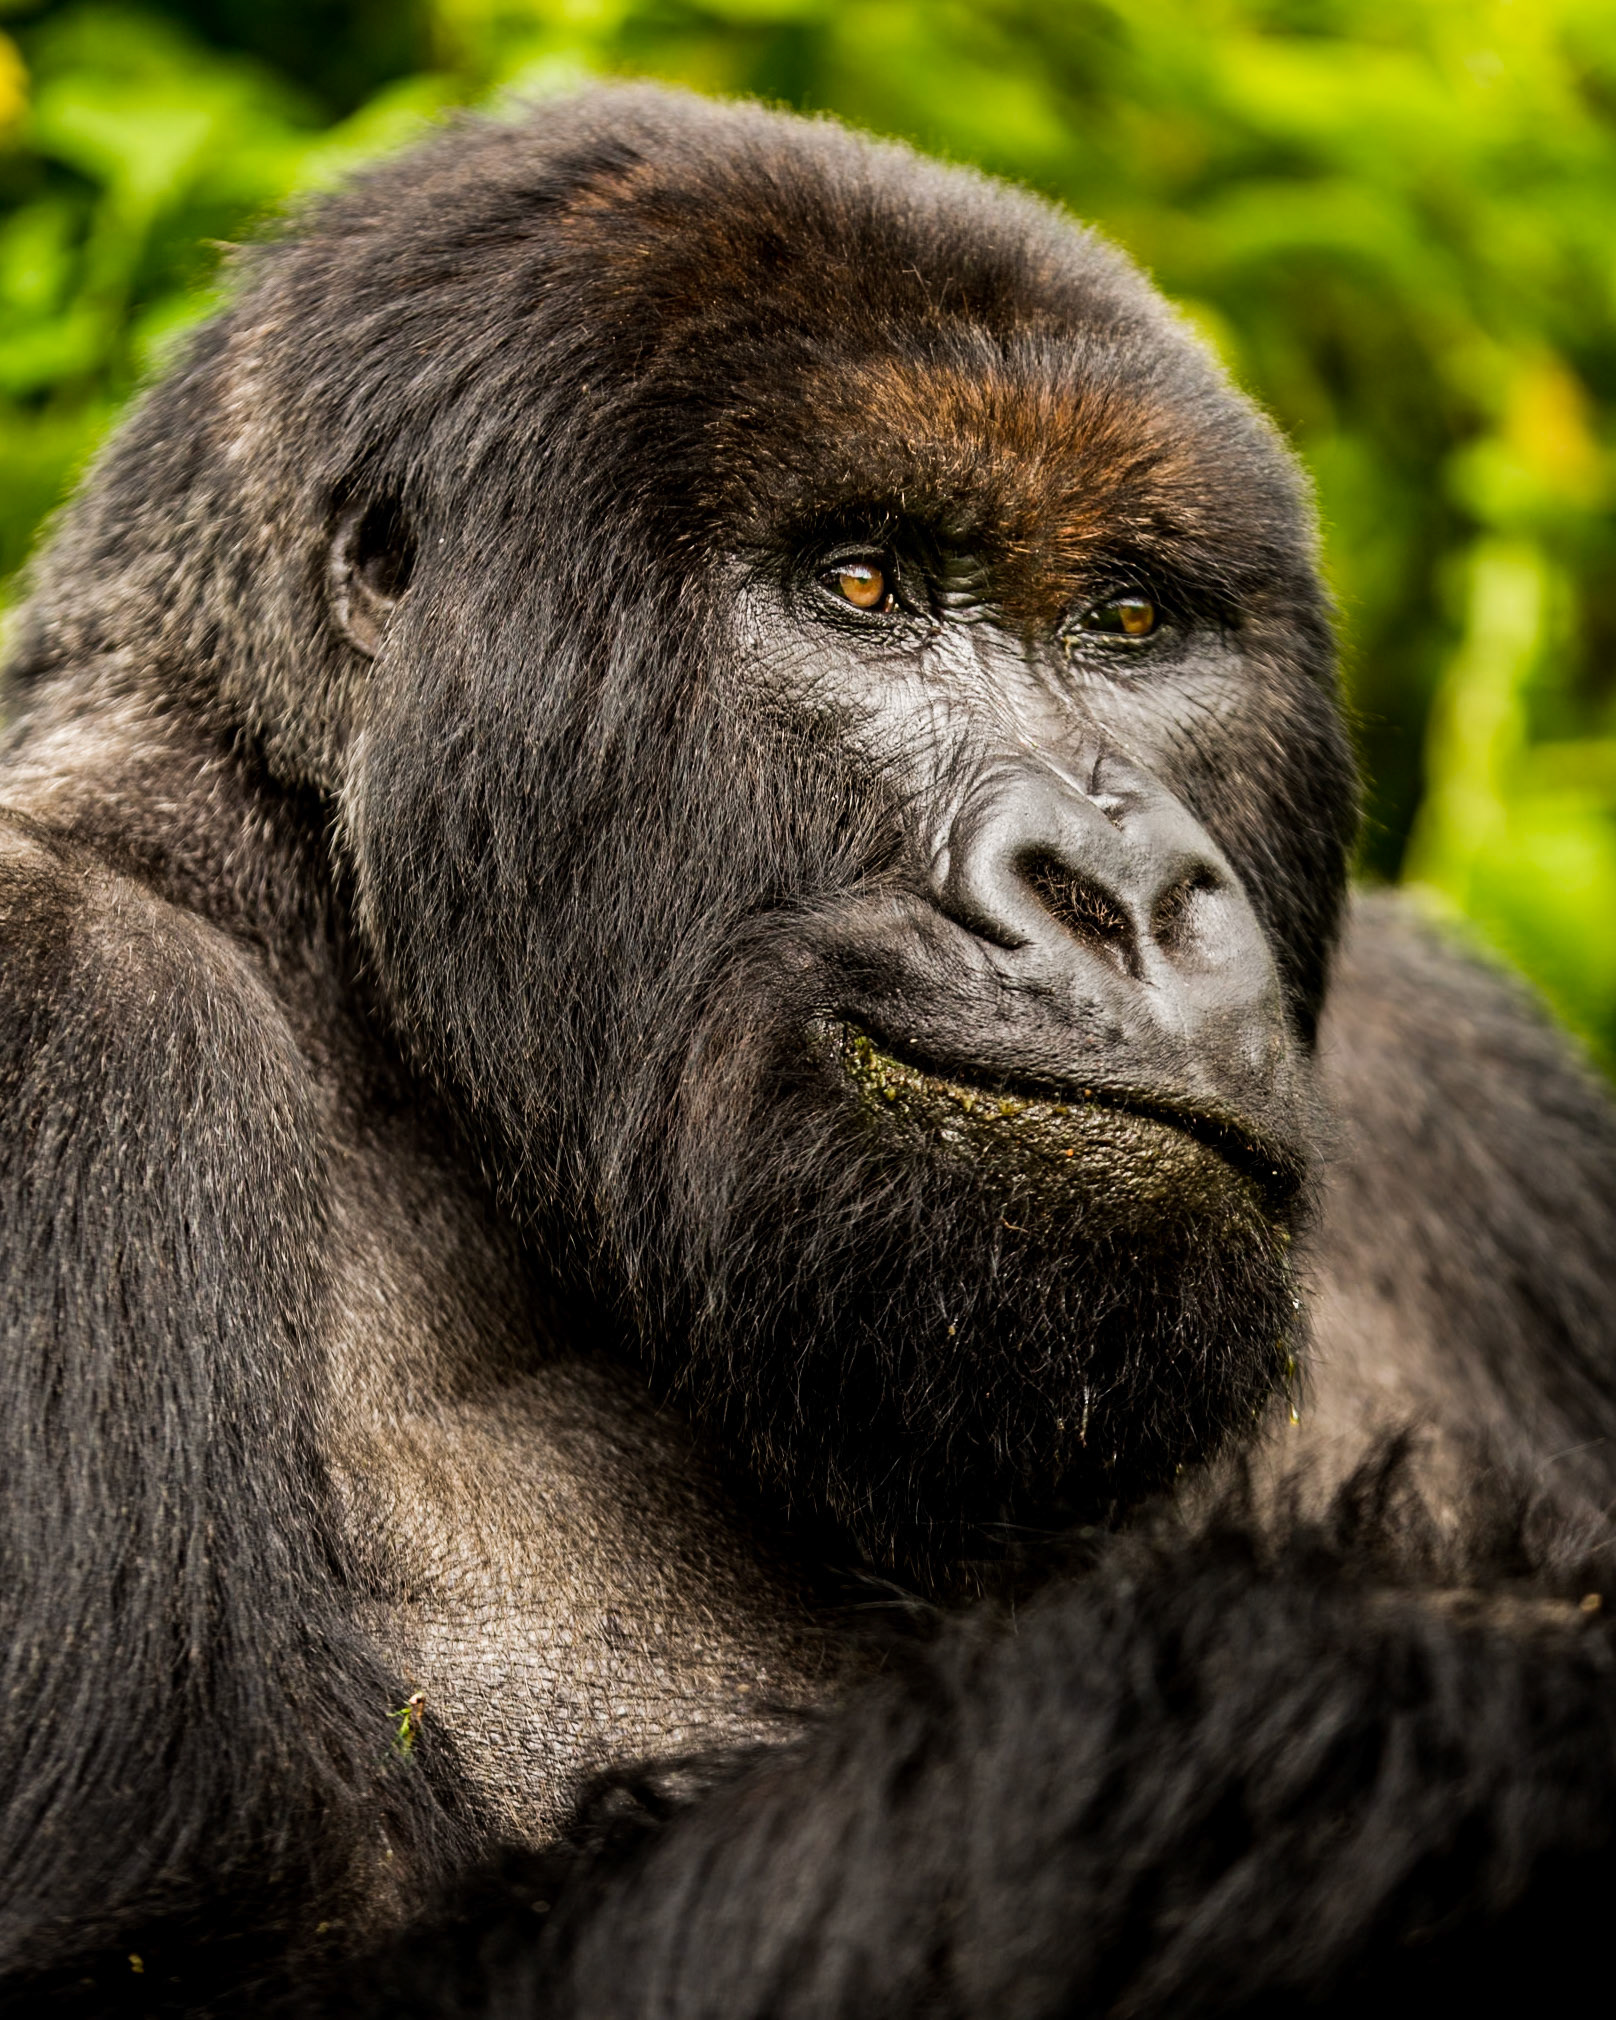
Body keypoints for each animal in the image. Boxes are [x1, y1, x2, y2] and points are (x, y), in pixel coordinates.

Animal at [1, 84, 1614, 2017]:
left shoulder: (1465, 1083)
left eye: (1128, 623)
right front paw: (1419, 1695)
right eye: (861, 583)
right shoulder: (58, 995)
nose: (1125, 891)